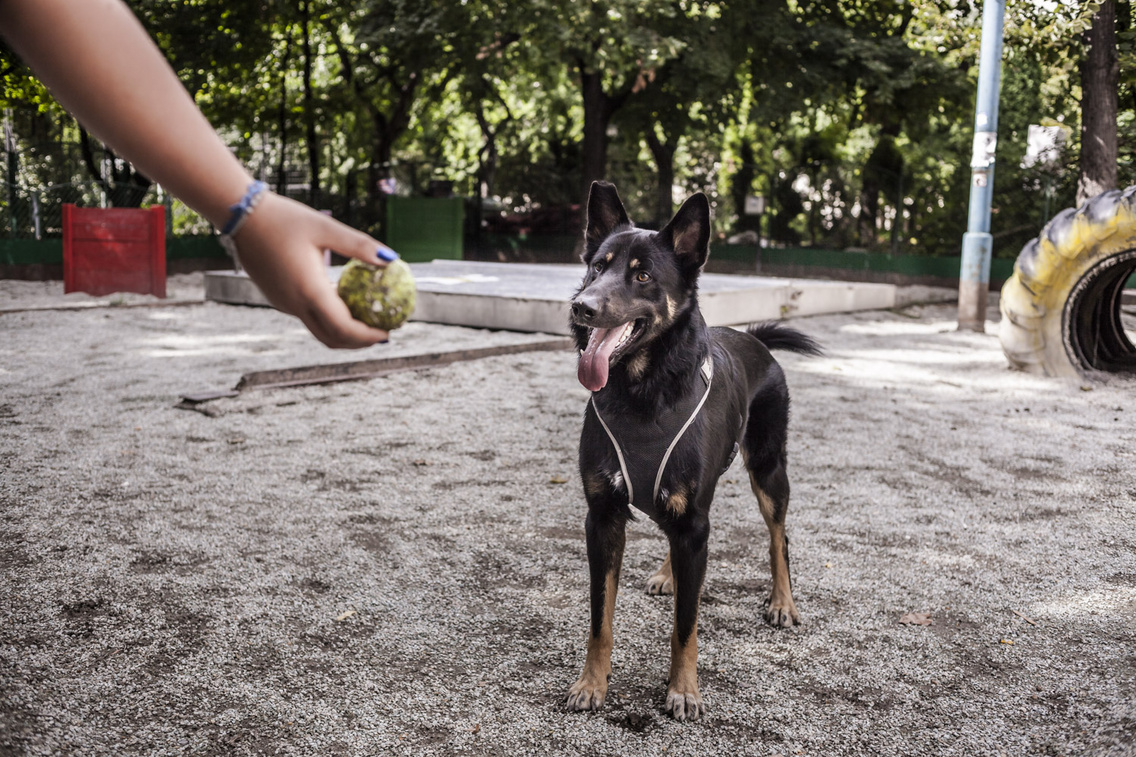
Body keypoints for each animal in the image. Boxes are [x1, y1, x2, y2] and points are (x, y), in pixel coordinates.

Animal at [565, 181, 817, 718]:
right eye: (597, 266)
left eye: (642, 275)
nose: (582, 307)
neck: (642, 391)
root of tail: (755, 340)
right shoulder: (603, 518)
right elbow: (600, 617)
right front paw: (592, 683)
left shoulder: (695, 522)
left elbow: (685, 624)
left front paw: (683, 690)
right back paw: (670, 575)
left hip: (768, 469)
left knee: (778, 536)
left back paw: (782, 602)